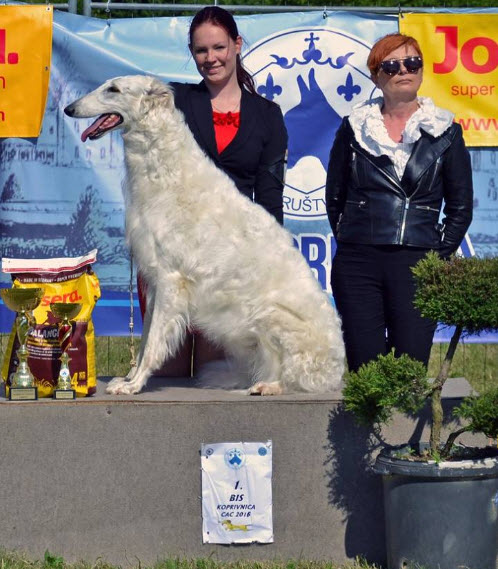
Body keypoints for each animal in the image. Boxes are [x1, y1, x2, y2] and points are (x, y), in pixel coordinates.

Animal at [64, 74, 344, 394]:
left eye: (113, 89)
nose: (69, 109)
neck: (168, 172)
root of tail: (337, 370)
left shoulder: (171, 279)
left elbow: (153, 345)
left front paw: (133, 385)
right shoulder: (156, 283)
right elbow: (147, 339)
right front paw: (129, 378)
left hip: (273, 317)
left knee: (294, 378)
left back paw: (269, 386)